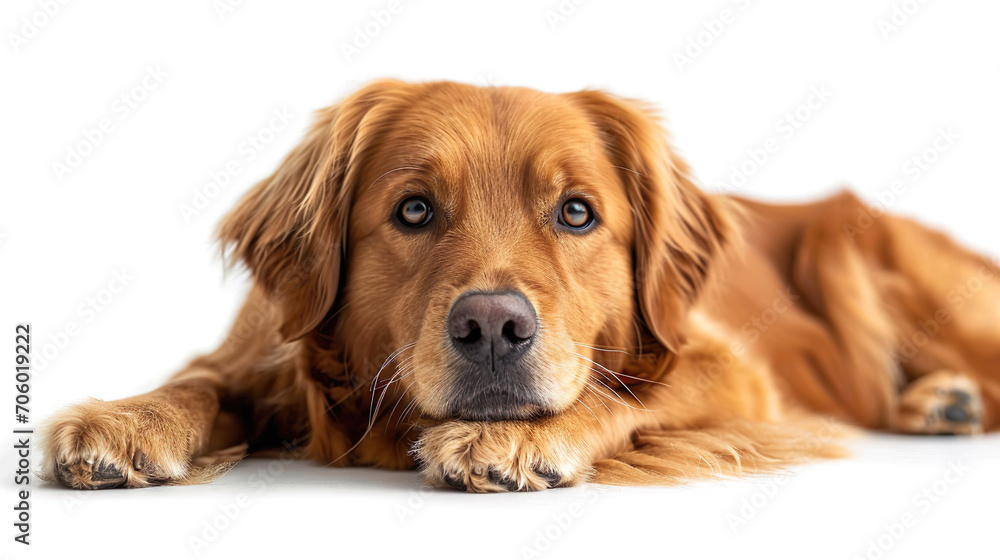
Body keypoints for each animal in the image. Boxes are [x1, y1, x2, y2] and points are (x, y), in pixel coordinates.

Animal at [37, 79, 992, 490]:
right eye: (414, 210)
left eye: (576, 213)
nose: (493, 327)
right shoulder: (261, 349)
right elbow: (205, 380)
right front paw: (130, 419)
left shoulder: (736, 374)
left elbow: (628, 392)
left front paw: (514, 440)